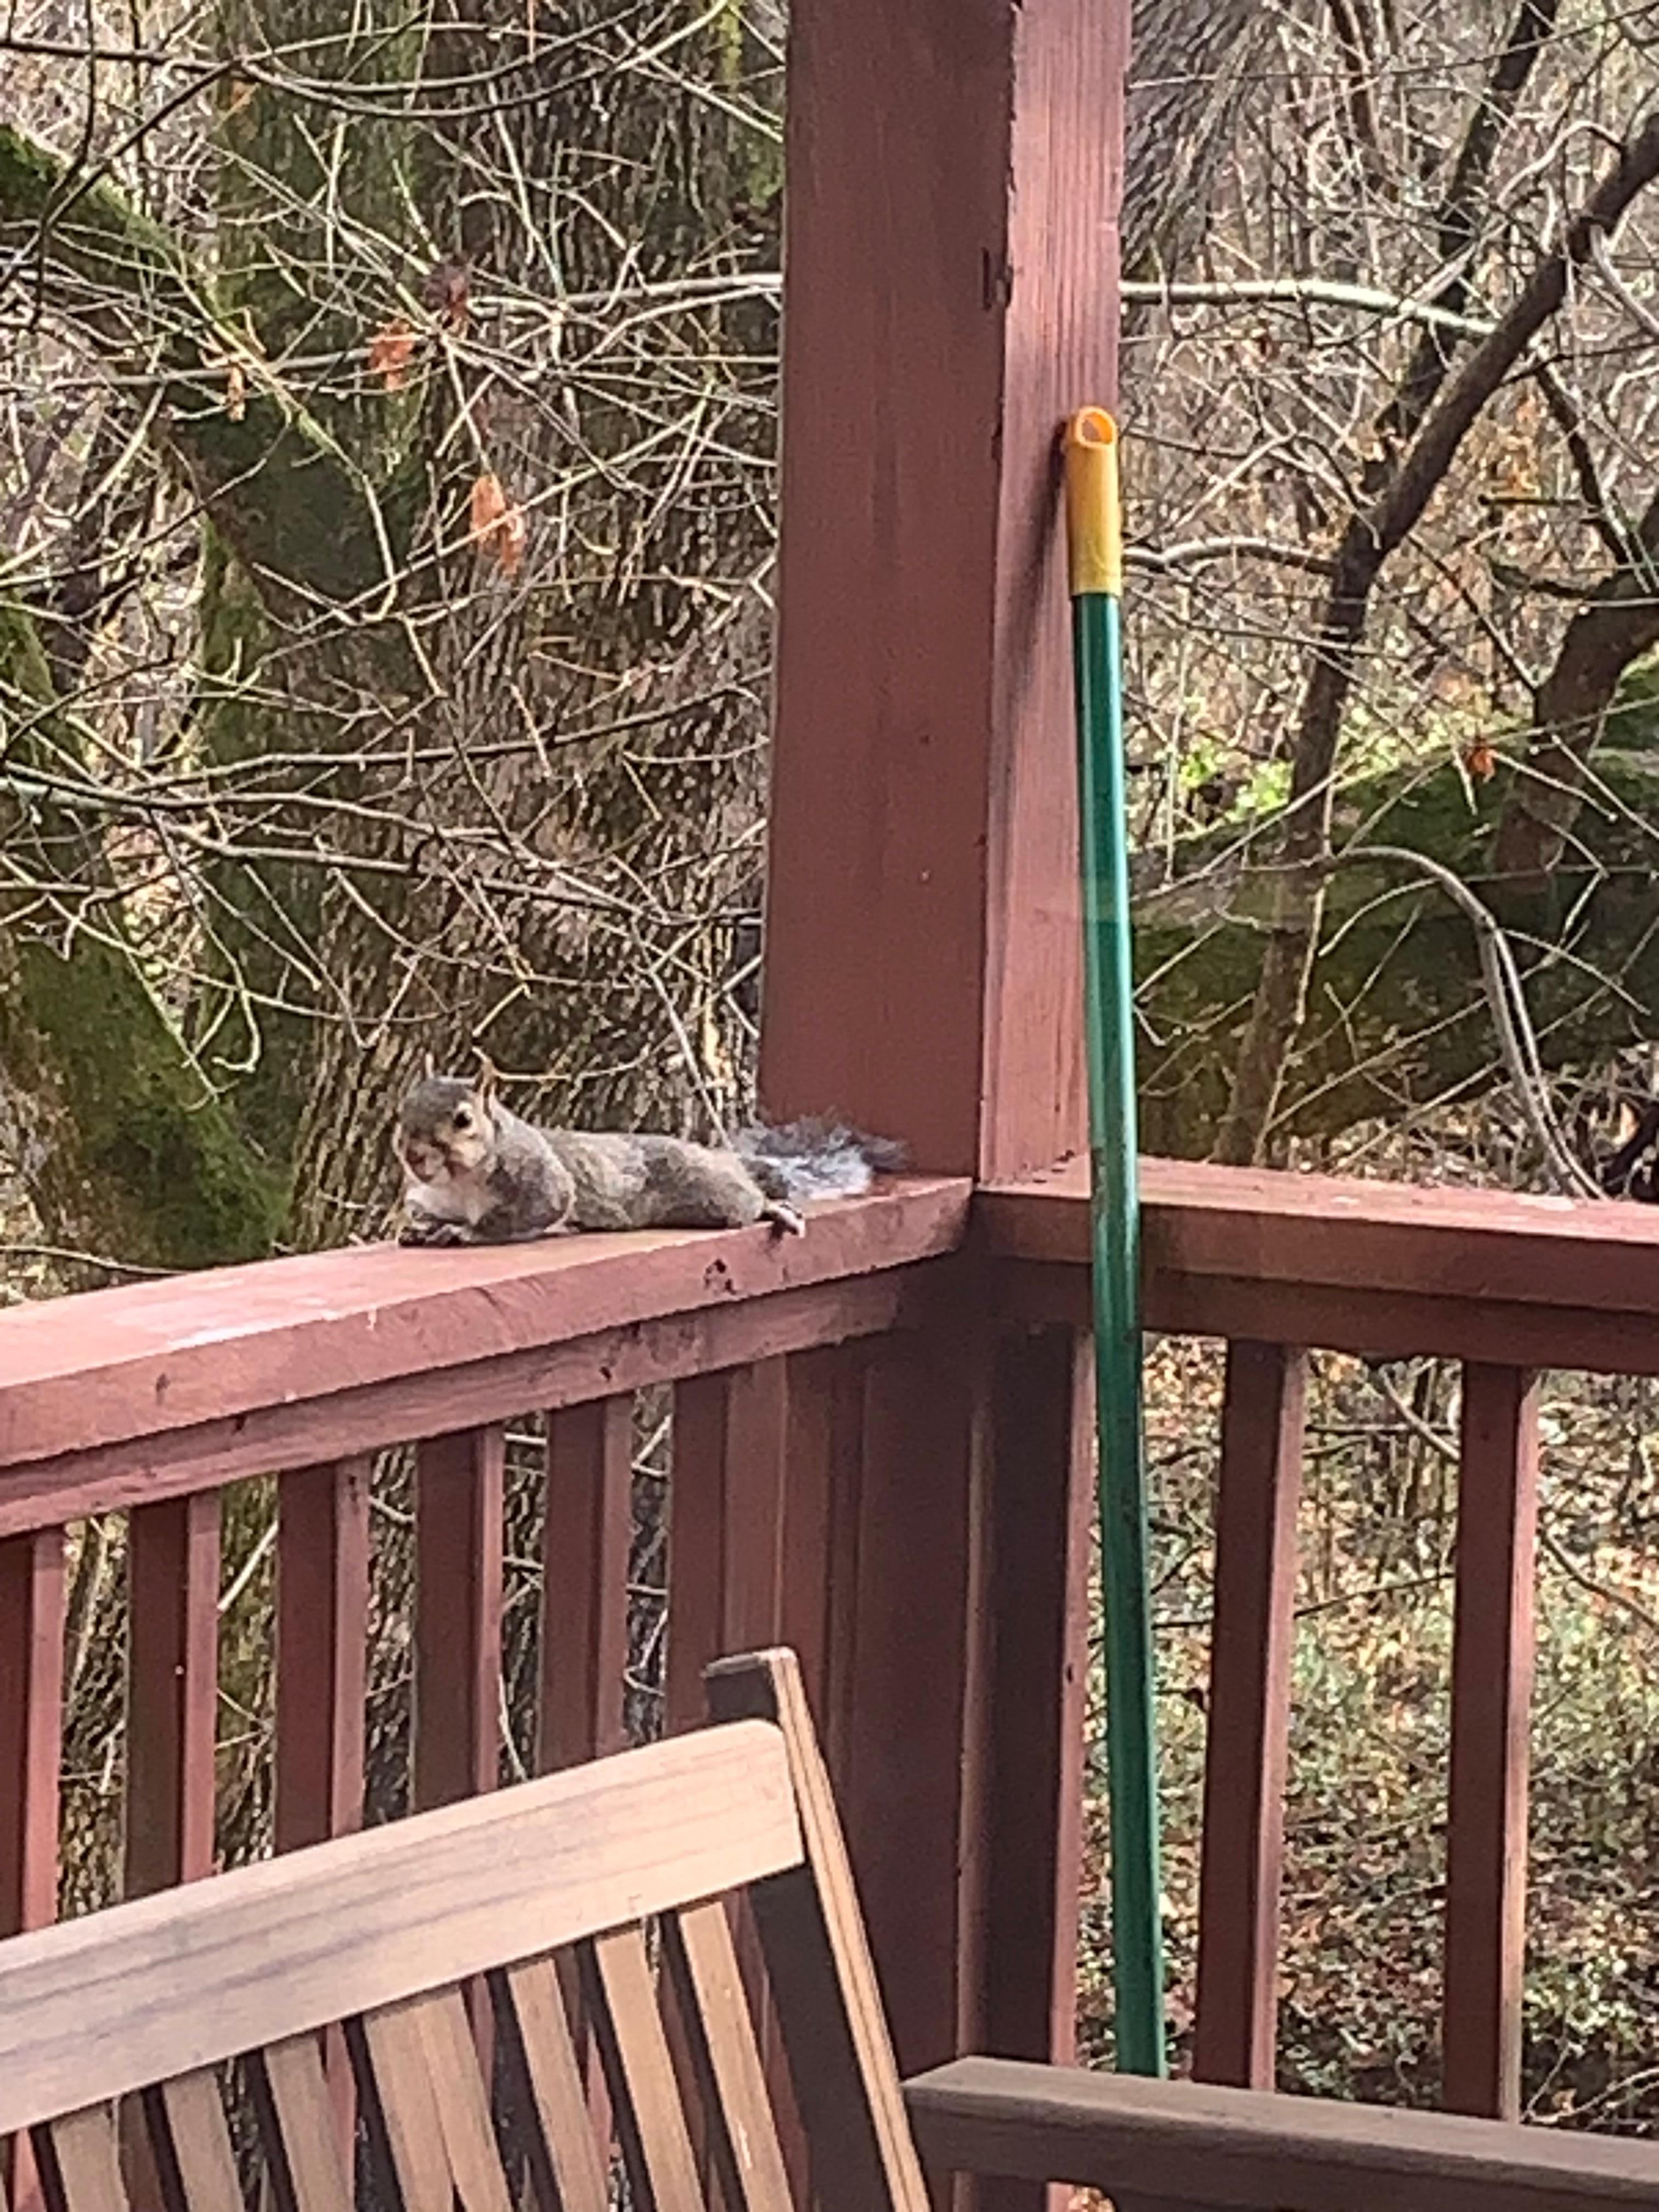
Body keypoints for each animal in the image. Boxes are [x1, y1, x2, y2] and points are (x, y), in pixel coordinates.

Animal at [394, 1062, 905, 1248]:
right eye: (401, 1111)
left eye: (463, 1120)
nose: (414, 1157)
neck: (460, 1181)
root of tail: (724, 1159)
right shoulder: (430, 1194)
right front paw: (424, 1227)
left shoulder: (538, 1180)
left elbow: (531, 1212)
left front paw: (464, 1233)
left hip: (714, 1194)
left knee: (749, 1201)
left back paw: (773, 1208)